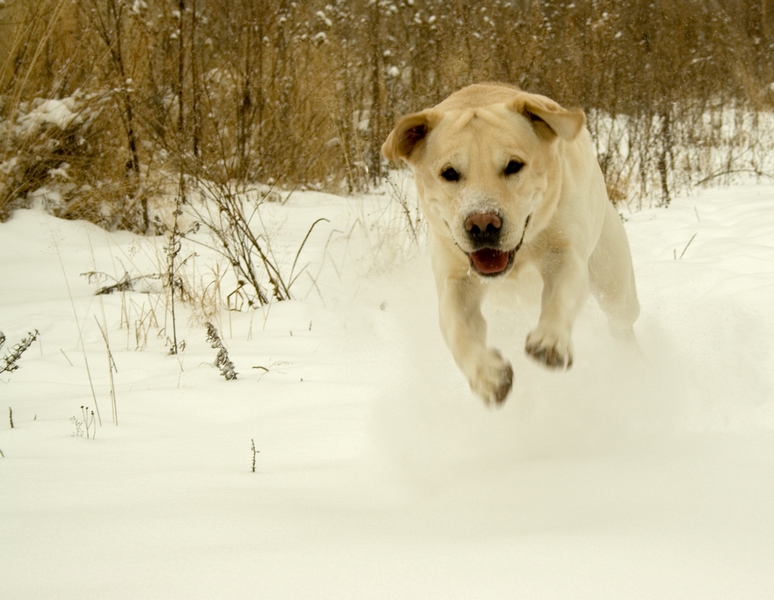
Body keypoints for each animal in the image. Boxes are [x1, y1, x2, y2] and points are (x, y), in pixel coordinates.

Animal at [384, 82, 644, 406]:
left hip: (614, 282)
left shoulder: (566, 255)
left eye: (513, 166)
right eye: (449, 172)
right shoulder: (456, 280)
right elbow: (458, 329)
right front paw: (488, 376)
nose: (482, 225)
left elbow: (559, 297)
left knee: (621, 322)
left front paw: (549, 343)